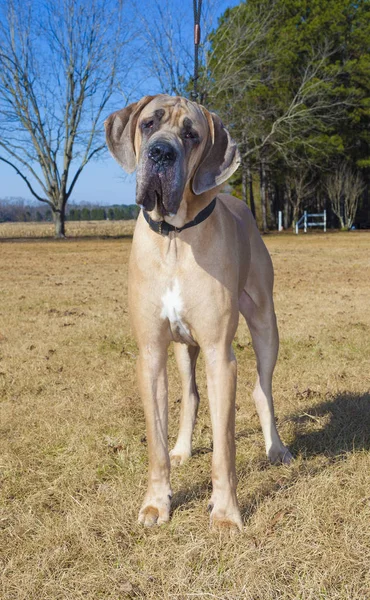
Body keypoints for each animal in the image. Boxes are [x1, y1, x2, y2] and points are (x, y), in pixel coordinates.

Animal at [105, 96, 292, 532]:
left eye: (192, 134)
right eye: (148, 124)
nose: (161, 152)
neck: (175, 238)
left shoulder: (219, 354)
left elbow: (224, 448)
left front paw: (224, 513)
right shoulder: (152, 353)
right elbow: (156, 442)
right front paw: (156, 503)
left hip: (265, 323)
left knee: (263, 389)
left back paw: (276, 448)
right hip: (182, 348)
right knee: (190, 396)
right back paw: (182, 449)